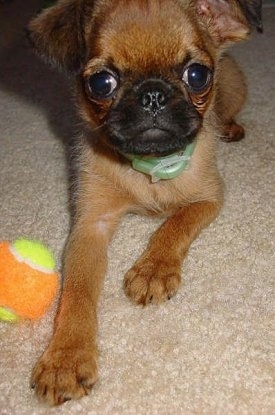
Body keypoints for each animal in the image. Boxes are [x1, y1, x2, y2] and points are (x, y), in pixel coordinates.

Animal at [28, 0, 264, 406]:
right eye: (101, 83)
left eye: (198, 75)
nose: (152, 94)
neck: (150, 165)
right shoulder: (90, 226)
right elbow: (77, 290)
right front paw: (65, 358)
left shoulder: (208, 198)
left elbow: (174, 225)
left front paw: (153, 271)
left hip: (235, 88)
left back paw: (231, 128)